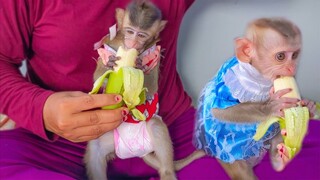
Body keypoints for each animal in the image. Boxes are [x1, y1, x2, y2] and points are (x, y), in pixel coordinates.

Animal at [85, 0, 200, 179]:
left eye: (141, 35)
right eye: (130, 31)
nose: (132, 44)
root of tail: (136, 152)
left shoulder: (155, 53)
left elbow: (152, 87)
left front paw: (139, 66)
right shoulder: (109, 45)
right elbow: (97, 77)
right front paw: (109, 64)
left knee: (156, 126)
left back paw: (167, 172)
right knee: (95, 146)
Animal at [194, 17, 316, 180]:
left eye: (295, 55)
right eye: (281, 56)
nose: (292, 68)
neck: (258, 75)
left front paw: (310, 106)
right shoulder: (232, 80)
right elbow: (219, 110)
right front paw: (271, 106)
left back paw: (280, 159)